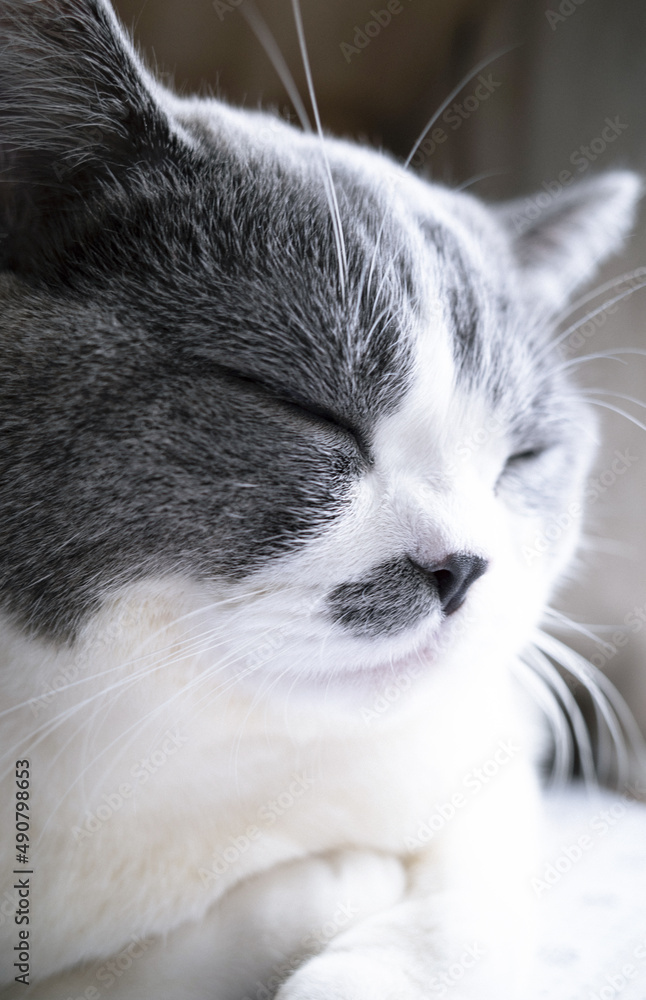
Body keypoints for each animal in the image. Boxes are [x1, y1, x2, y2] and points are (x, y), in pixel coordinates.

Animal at [0, 1, 644, 1000]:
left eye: (522, 458)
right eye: (305, 407)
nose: (463, 567)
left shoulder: (493, 752)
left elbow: (468, 896)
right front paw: (335, 885)